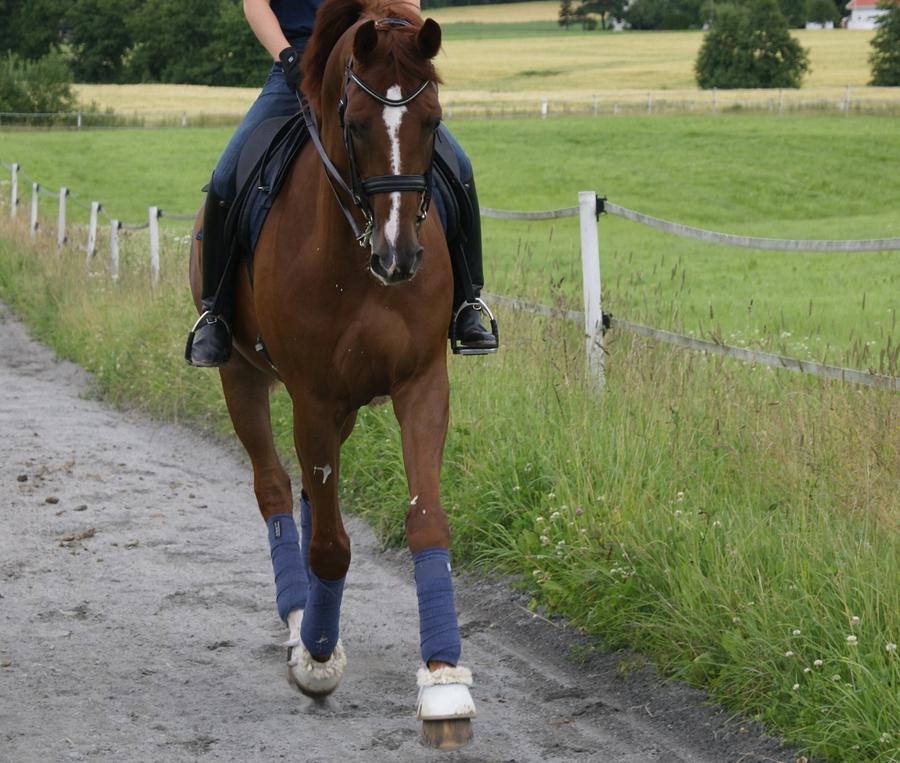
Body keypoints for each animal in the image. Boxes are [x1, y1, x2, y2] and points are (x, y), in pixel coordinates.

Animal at [189, 0, 476, 749]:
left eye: (433, 119)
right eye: (356, 122)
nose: (401, 257)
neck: (354, 253)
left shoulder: (422, 383)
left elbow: (426, 521)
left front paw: (444, 680)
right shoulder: (312, 395)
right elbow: (330, 546)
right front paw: (316, 658)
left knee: (311, 499)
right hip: (244, 377)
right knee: (276, 490)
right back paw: (299, 621)